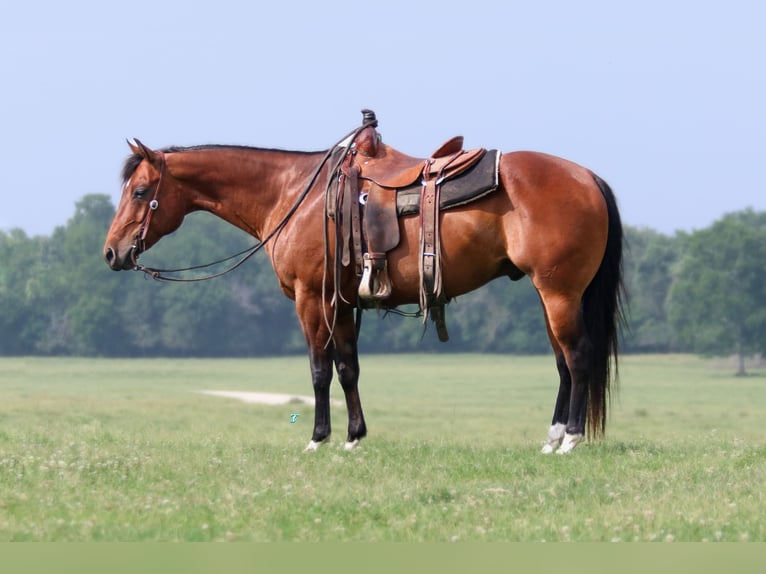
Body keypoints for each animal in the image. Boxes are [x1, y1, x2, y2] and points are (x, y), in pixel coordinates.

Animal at [105, 120, 628, 454]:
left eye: (139, 191)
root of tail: (587, 177)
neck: (294, 195)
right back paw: (553, 438)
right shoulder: (341, 302)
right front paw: (354, 437)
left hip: (560, 293)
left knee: (578, 357)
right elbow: (348, 369)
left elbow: (319, 370)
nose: (112, 252)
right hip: (550, 295)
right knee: (562, 363)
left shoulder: (311, 298)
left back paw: (572, 438)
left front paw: (318, 438)